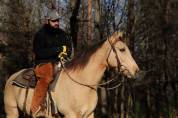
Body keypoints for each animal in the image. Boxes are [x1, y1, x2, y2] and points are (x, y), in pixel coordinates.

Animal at [3, 31, 139, 118]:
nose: (136, 71)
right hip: (12, 112)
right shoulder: (71, 115)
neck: (83, 83)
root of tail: (11, 78)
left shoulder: (89, 114)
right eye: (122, 49)